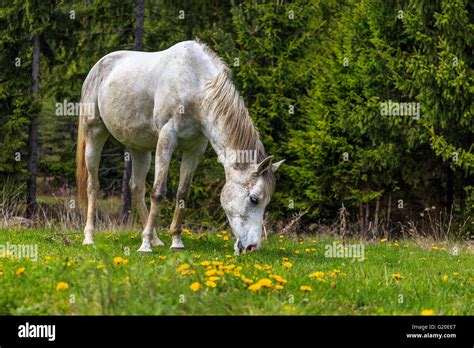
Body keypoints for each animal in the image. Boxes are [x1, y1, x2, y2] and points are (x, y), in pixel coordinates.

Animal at [76, 40, 284, 253]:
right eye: (254, 199)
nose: (251, 247)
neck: (195, 85)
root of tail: (98, 66)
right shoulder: (167, 138)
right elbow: (158, 192)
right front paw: (145, 245)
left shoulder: (195, 148)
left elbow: (183, 192)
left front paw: (175, 240)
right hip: (94, 134)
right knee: (93, 185)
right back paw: (90, 237)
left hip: (139, 147)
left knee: (136, 187)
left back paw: (156, 239)